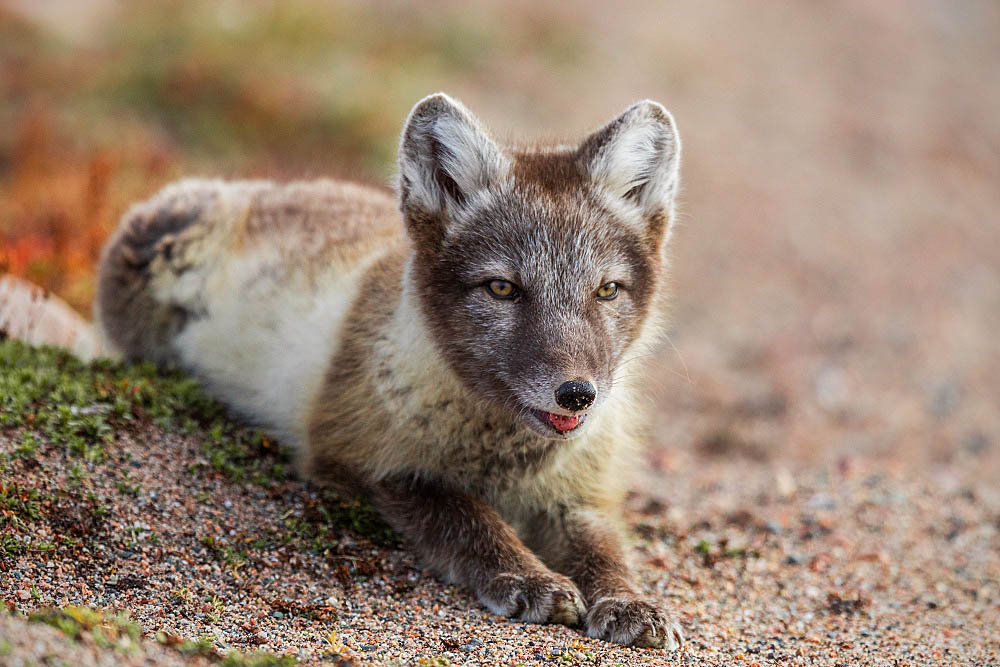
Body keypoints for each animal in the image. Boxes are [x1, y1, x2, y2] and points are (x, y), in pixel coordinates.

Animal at [94, 92, 684, 648]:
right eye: (502, 288)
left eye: (606, 290)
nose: (577, 394)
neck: (509, 463)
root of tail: (259, 188)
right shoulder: (364, 460)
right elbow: (466, 516)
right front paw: (528, 577)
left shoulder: (583, 493)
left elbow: (605, 549)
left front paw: (632, 602)